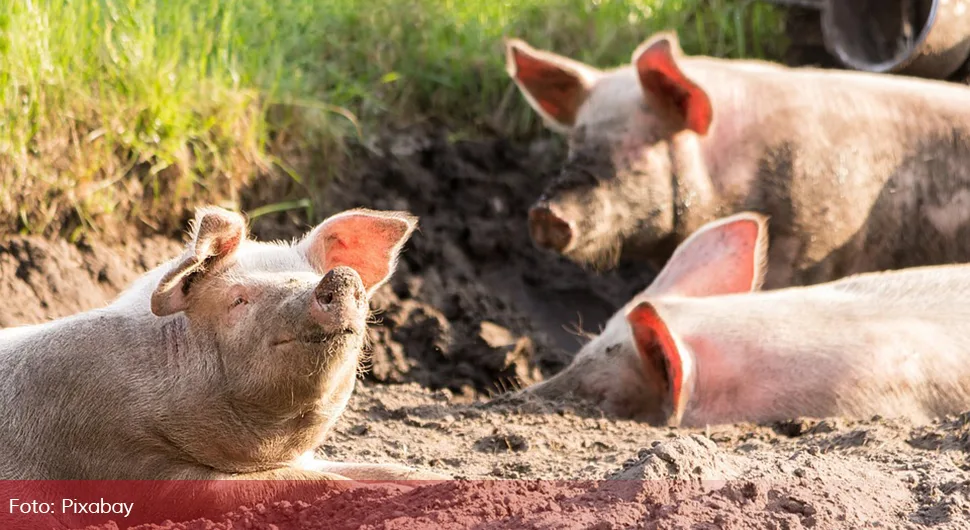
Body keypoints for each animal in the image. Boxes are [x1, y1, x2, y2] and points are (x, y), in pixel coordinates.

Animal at [0, 205, 446, 482]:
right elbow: (314, 484)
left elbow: (385, 472)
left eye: (308, 276)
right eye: (238, 299)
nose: (339, 276)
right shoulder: (127, 457)